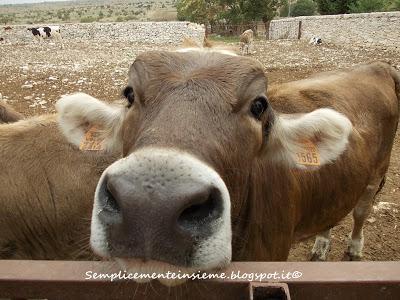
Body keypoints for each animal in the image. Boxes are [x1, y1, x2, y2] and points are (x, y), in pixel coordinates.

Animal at [57, 49, 400, 286]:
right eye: (129, 94)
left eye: (259, 105)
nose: (150, 206)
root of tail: (378, 66)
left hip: (377, 173)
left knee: (361, 211)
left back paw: (354, 249)